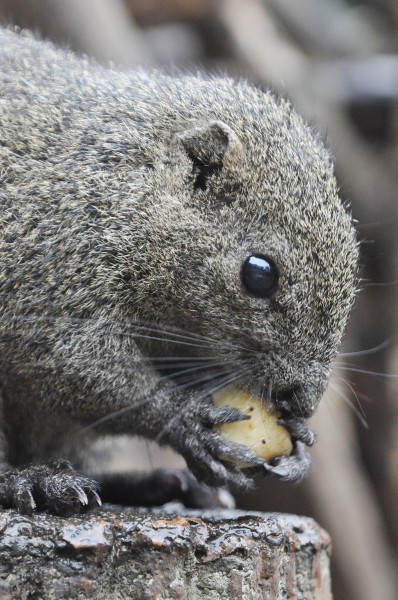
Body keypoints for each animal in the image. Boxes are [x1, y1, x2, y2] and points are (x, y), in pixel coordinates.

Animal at [0, 28, 358, 516]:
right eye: (259, 274)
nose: (302, 400)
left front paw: (301, 443)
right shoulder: (48, 279)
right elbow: (82, 369)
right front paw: (188, 422)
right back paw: (35, 481)